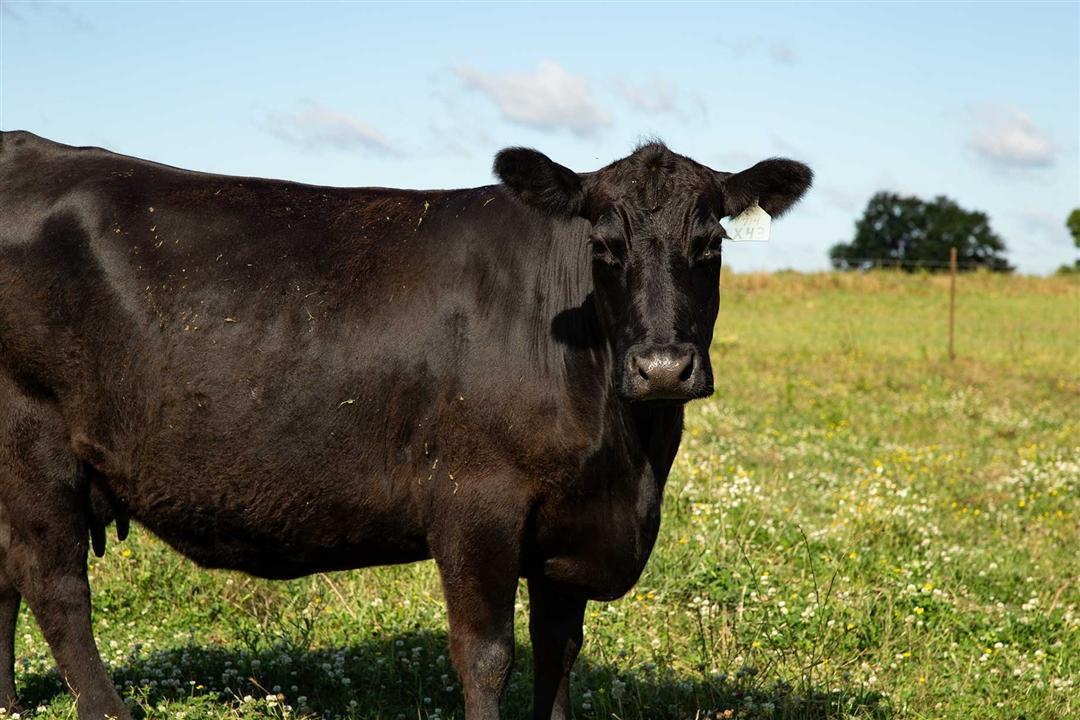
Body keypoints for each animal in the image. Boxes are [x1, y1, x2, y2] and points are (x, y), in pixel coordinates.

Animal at [0, 132, 812, 720]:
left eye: (710, 246)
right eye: (604, 248)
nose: (663, 367)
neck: (629, 462)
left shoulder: (569, 527)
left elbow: (558, 653)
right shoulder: (473, 503)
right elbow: (486, 655)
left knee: (7, 571)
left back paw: (7, 701)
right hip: (35, 442)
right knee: (56, 587)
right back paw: (107, 711)